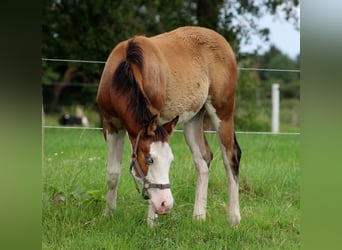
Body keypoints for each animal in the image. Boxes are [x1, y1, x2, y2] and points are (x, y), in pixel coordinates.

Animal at [95, 25, 242, 227]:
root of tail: (223, 43)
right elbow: (112, 174)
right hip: (193, 118)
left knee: (230, 157)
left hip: (223, 113)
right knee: (203, 160)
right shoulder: (111, 126)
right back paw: (198, 217)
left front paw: (151, 223)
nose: (166, 204)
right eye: (149, 159)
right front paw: (108, 215)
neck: (126, 68)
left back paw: (234, 218)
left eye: (171, 161)